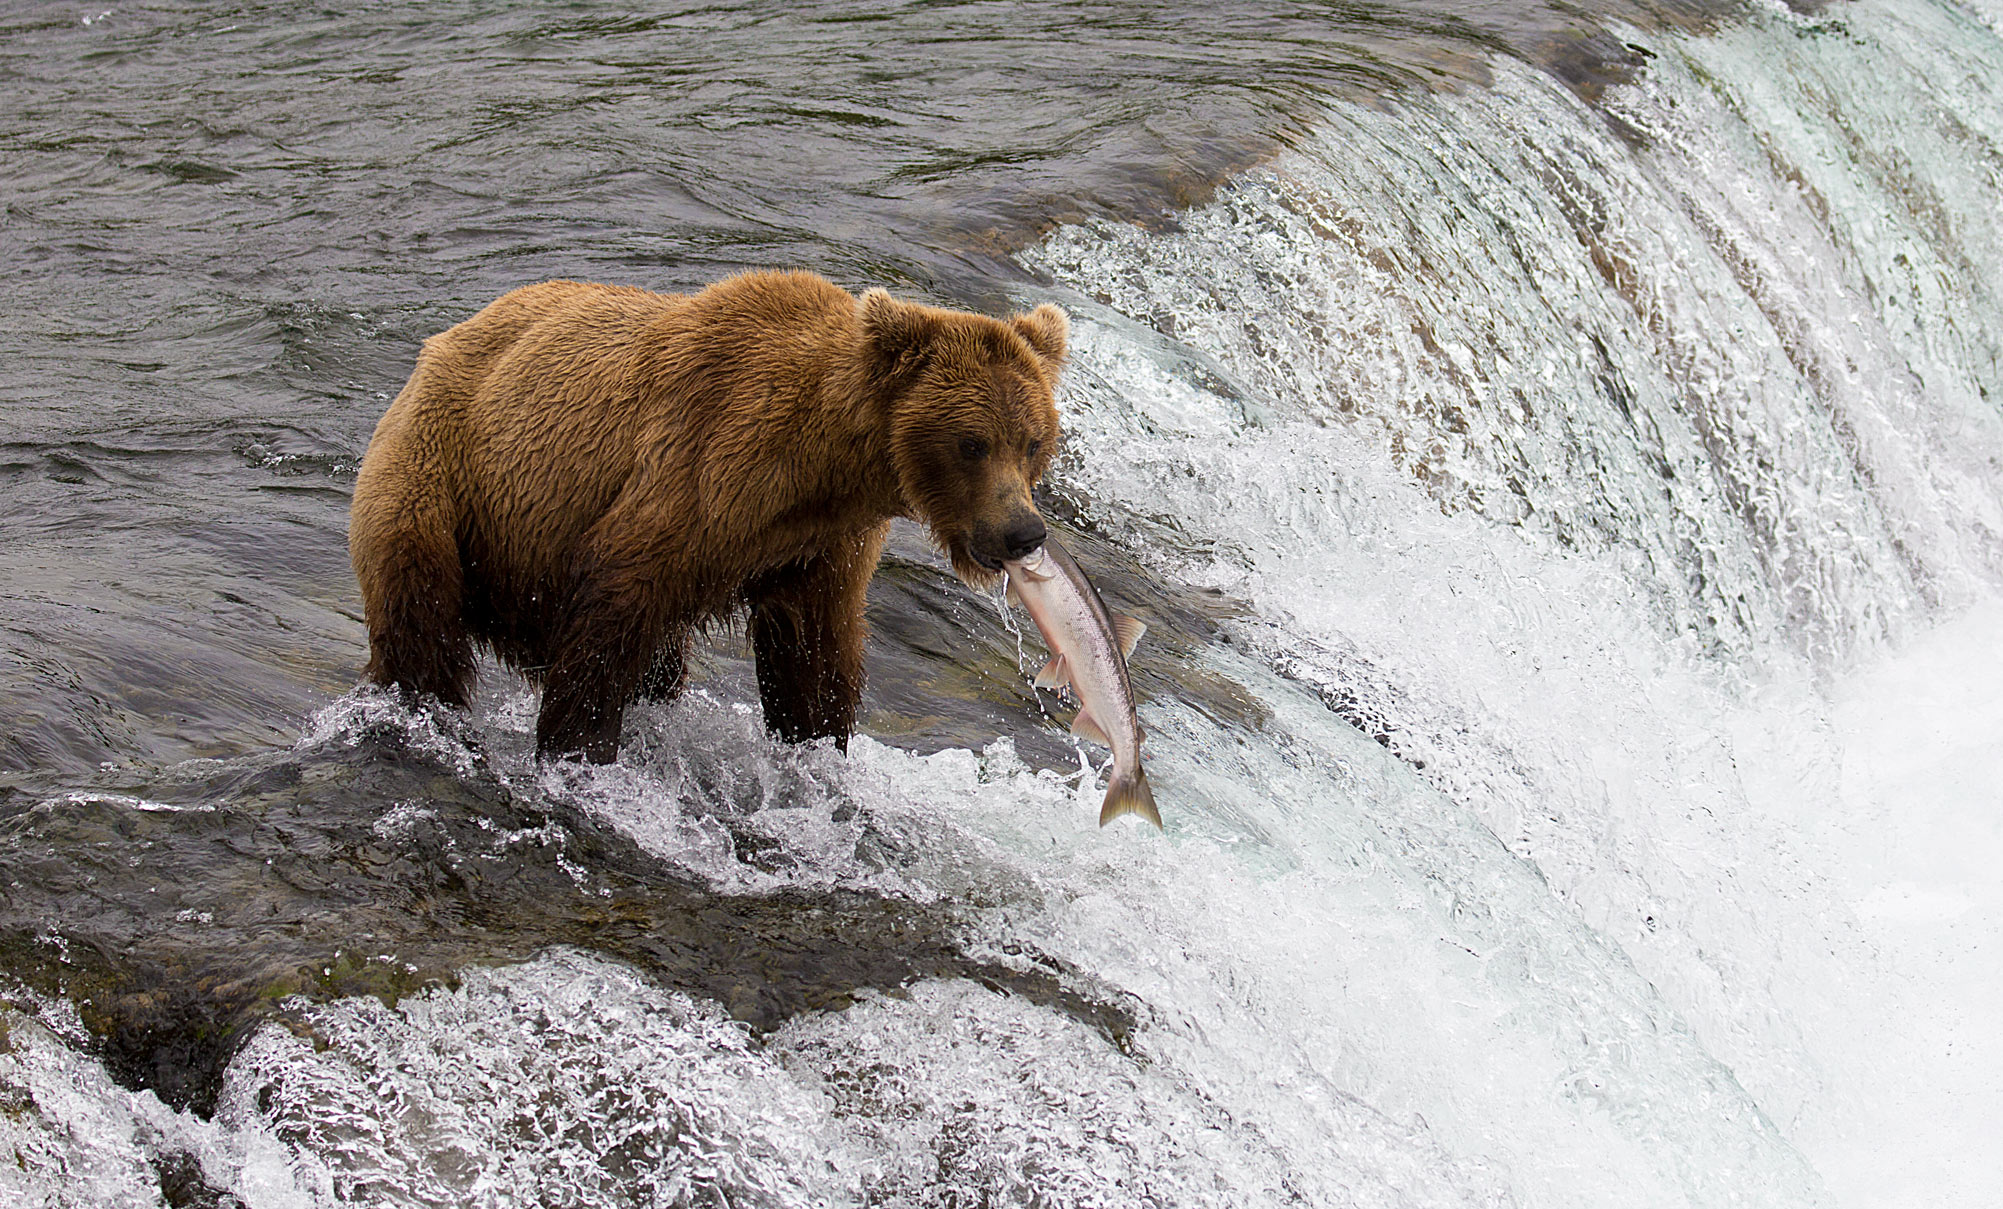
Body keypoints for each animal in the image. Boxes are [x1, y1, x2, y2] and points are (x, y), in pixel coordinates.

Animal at [349, 270, 1068, 763]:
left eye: (1033, 440)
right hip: (437, 474)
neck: (821, 463)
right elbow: (611, 611)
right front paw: (578, 749)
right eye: (971, 442)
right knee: (420, 620)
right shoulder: (700, 465)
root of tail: (439, 343)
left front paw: (817, 746)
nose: (1023, 531)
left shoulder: (818, 544)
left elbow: (812, 654)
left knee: (660, 668)